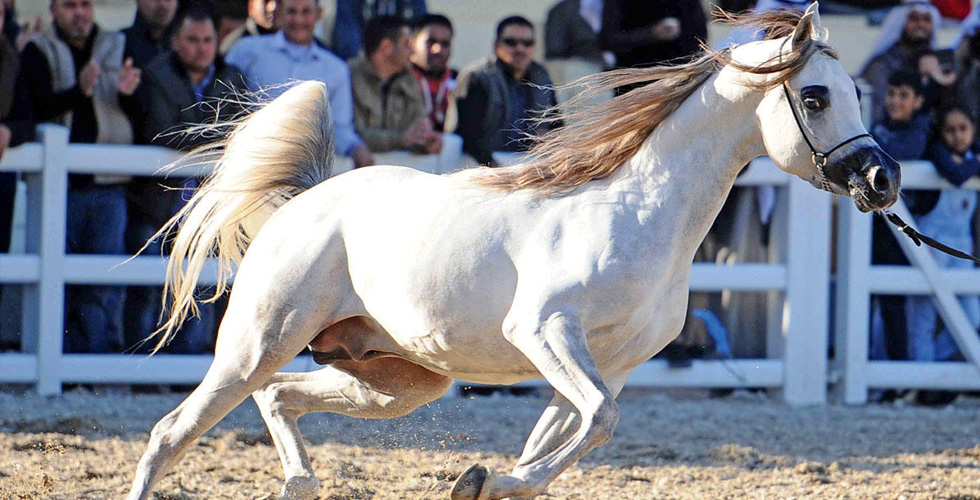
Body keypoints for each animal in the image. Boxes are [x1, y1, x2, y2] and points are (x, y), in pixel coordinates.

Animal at [126, 4, 900, 500]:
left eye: (859, 93)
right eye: (817, 96)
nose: (882, 179)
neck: (638, 212)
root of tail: (305, 205)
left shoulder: (607, 366)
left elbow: (569, 436)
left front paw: (484, 481)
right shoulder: (545, 331)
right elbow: (596, 423)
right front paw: (483, 479)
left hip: (395, 378)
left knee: (281, 397)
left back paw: (301, 483)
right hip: (256, 344)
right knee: (170, 433)